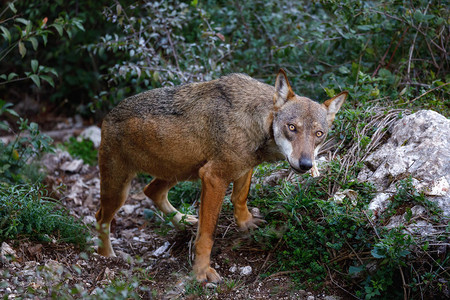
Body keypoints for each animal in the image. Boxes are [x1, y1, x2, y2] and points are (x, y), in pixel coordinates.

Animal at [96, 69, 348, 282]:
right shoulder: (214, 177)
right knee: (101, 218)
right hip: (120, 190)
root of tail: (107, 115)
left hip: (182, 172)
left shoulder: (243, 168)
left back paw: (183, 221)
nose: (305, 164)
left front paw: (246, 223)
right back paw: (106, 256)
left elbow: (240, 198)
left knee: (151, 191)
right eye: (292, 127)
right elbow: (207, 235)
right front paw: (201, 272)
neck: (258, 121)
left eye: (319, 134)